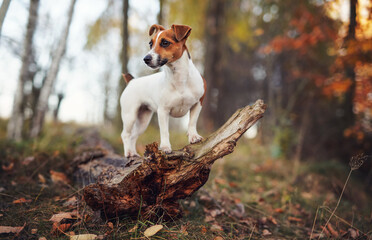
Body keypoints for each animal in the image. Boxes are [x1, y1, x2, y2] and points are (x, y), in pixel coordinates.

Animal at [120, 24, 206, 158]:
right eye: (150, 43)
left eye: (165, 42)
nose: (146, 58)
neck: (179, 78)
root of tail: (131, 81)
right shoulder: (163, 111)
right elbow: (164, 131)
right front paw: (165, 147)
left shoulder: (198, 104)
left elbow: (192, 122)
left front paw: (193, 136)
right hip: (130, 115)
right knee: (125, 134)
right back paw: (128, 153)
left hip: (143, 120)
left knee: (133, 136)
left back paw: (134, 153)